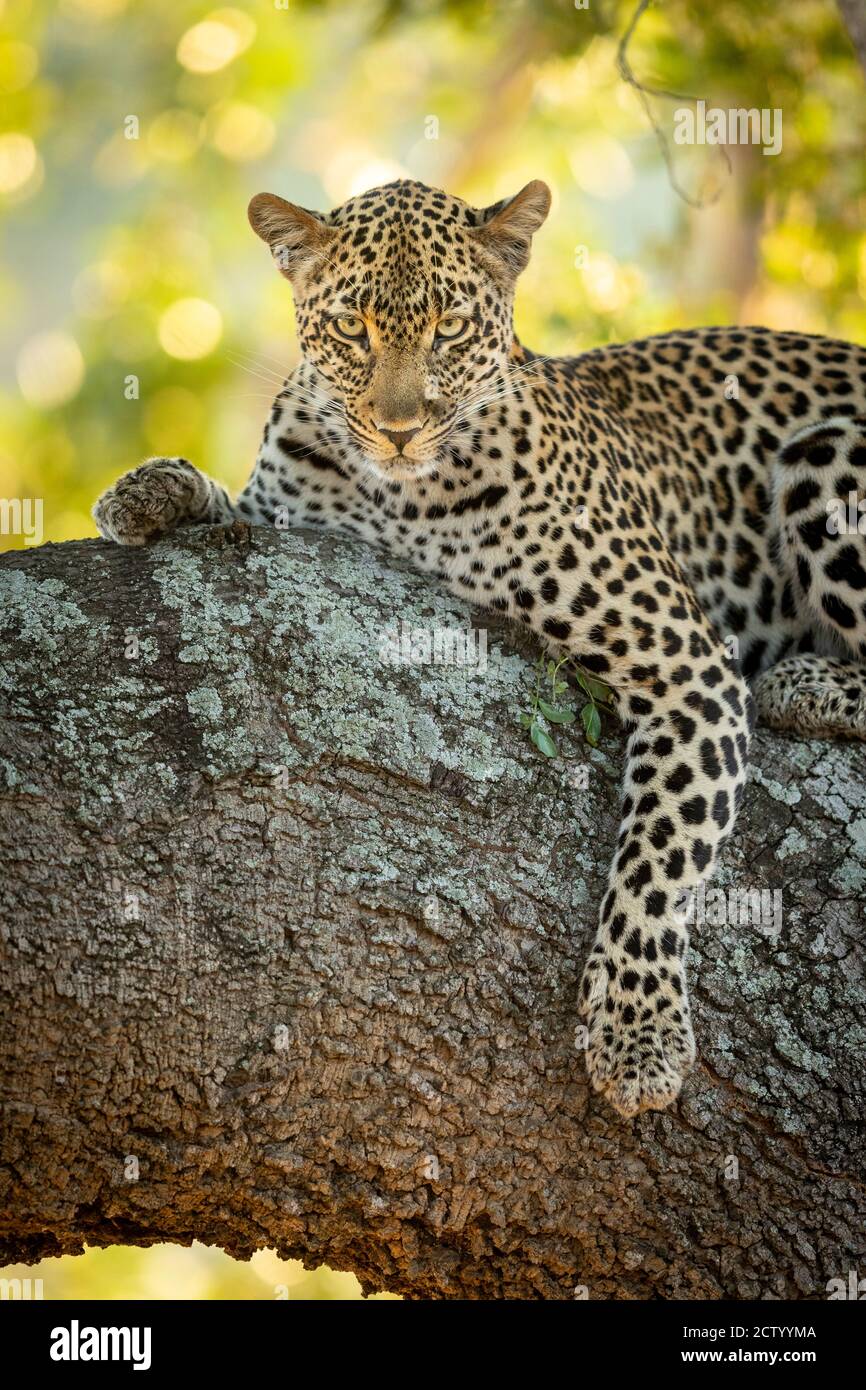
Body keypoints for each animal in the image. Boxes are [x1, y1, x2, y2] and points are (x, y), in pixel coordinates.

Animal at [93, 176, 866, 1119]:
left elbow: (660, 854)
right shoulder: (287, 516)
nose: (397, 428)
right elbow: (237, 510)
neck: (402, 502)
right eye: (351, 327)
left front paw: (637, 1034)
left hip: (832, 449)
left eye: (451, 327)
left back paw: (806, 684)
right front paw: (150, 489)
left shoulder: (685, 662)